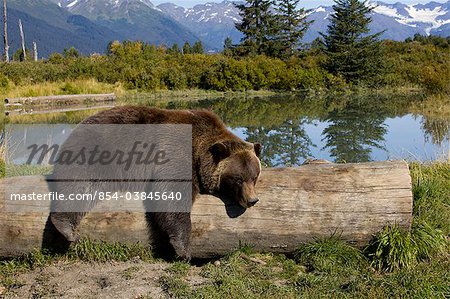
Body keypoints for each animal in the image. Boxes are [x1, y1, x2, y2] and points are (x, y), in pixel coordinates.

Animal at [49, 106, 262, 260]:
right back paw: (65, 228)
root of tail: (76, 128)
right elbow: (171, 194)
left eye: (254, 176)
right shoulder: (175, 152)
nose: (252, 200)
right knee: (79, 185)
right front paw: (183, 249)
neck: (199, 153)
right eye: (237, 178)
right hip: (96, 152)